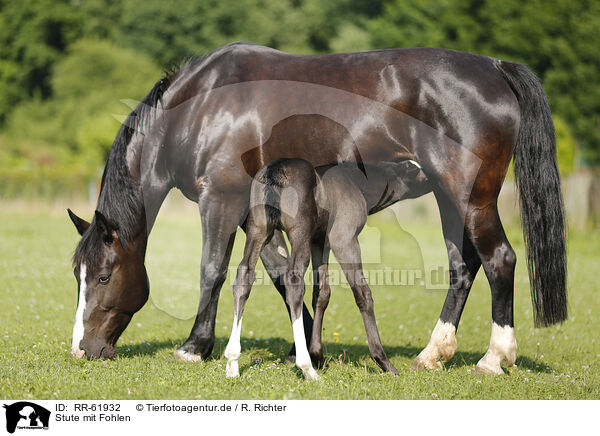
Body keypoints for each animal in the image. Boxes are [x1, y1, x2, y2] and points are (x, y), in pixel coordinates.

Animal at [223, 158, 428, 378]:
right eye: (420, 171)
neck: (357, 183)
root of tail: (275, 169)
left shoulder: (319, 243)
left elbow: (321, 294)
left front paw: (318, 356)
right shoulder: (344, 240)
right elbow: (362, 293)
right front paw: (384, 362)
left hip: (259, 231)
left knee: (244, 276)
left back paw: (233, 362)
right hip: (299, 234)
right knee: (293, 281)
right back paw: (307, 368)